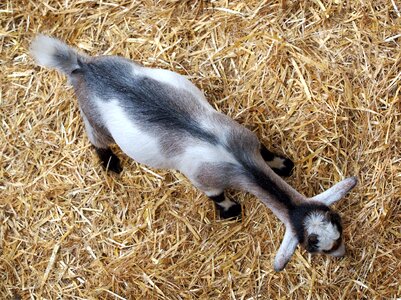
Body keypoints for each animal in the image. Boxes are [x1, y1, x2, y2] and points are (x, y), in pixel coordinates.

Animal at [30, 34, 356, 270]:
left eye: (338, 226)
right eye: (316, 247)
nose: (342, 255)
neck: (238, 162)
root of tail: (83, 68)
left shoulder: (244, 137)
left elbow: (266, 152)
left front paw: (282, 164)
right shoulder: (204, 180)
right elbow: (217, 196)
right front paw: (231, 211)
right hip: (94, 117)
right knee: (95, 135)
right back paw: (110, 162)